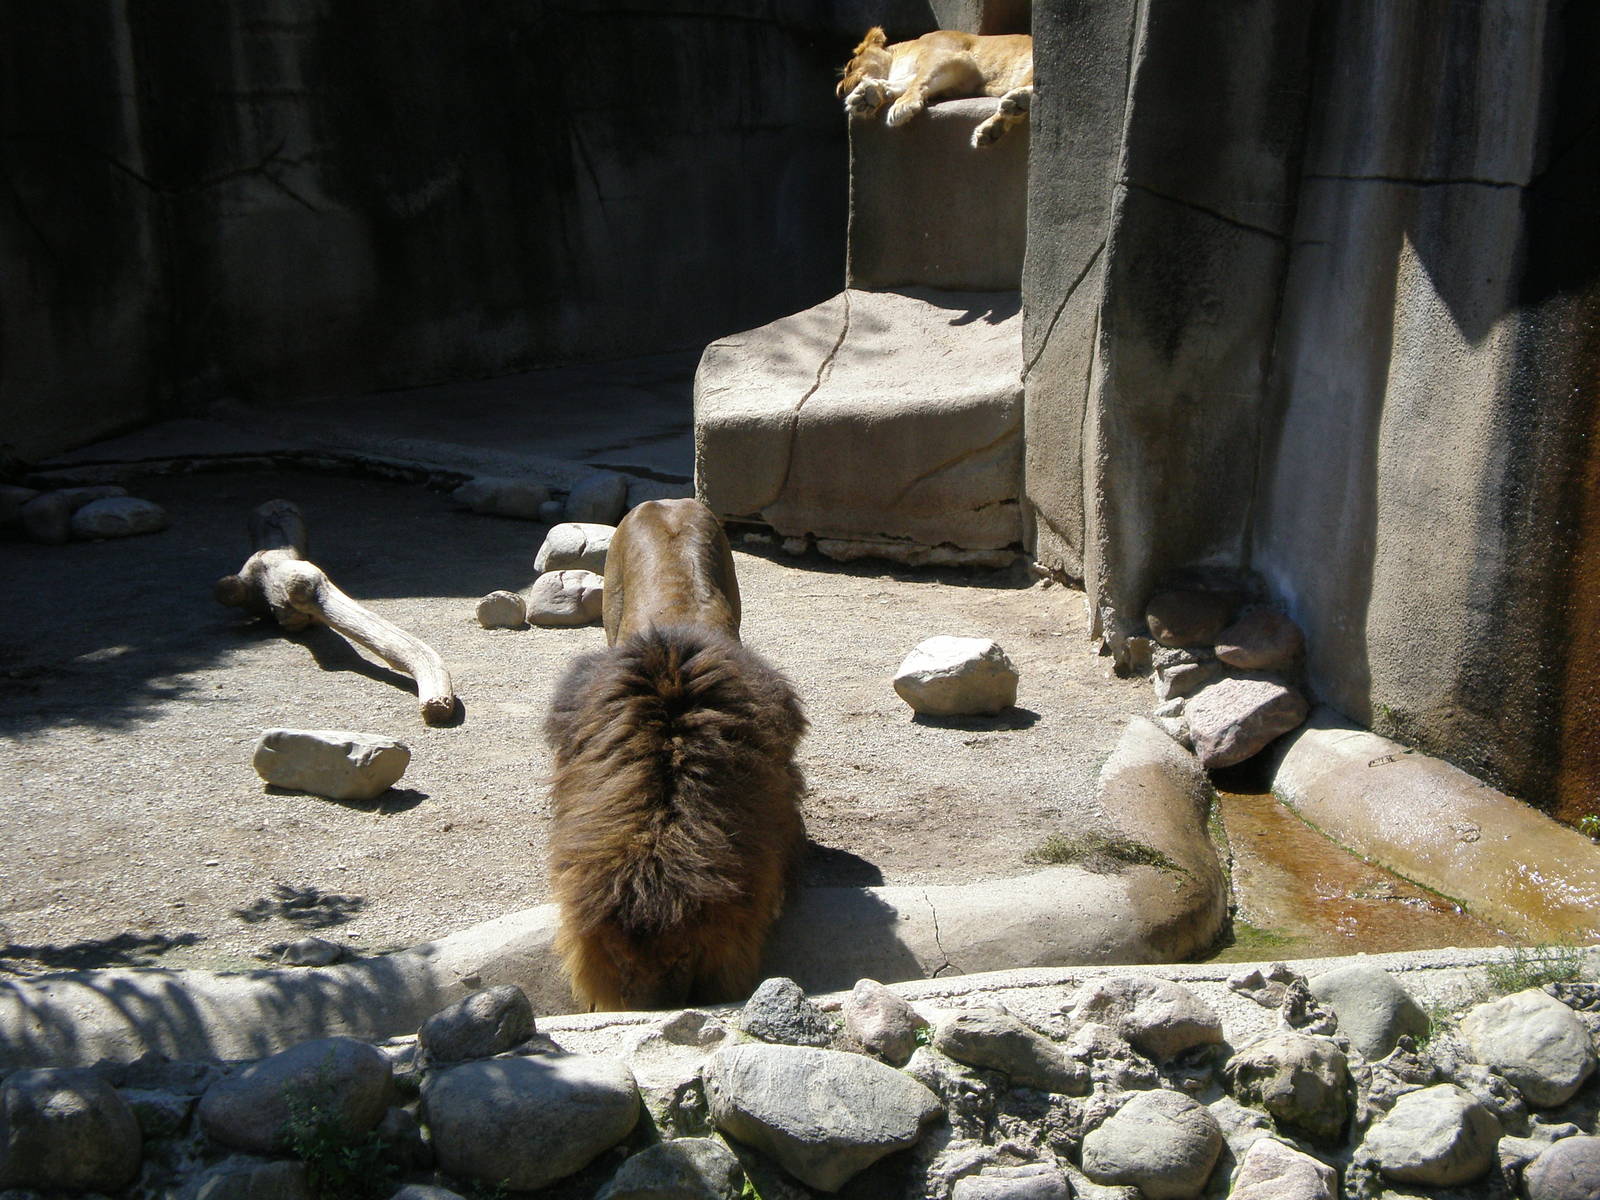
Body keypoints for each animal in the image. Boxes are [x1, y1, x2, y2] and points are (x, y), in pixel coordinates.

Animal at [837, 26, 1034, 149]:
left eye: (850, 66)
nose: (839, 90)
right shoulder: (960, 79)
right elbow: (904, 83)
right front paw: (865, 96)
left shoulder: (949, 56)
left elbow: (918, 81)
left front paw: (902, 106)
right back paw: (992, 128)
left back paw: (1018, 100)